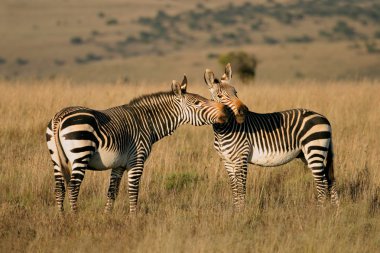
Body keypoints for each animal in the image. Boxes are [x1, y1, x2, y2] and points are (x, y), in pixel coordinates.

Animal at [45, 75, 227, 213]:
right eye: (197, 103)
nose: (224, 114)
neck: (148, 122)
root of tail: (59, 117)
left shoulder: (118, 164)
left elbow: (112, 192)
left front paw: (107, 216)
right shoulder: (136, 160)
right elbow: (133, 191)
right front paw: (134, 218)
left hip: (56, 159)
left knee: (59, 188)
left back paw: (61, 218)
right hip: (80, 153)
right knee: (73, 187)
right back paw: (75, 217)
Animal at [203, 63, 340, 210]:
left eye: (236, 92)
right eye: (219, 95)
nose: (244, 110)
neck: (223, 130)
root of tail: (324, 118)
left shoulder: (241, 157)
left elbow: (241, 187)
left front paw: (241, 211)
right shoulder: (227, 161)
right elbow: (234, 188)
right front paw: (236, 210)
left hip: (314, 149)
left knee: (322, 184)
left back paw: (319, 211)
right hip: (309, 154)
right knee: (329, 180)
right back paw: (335, 209)